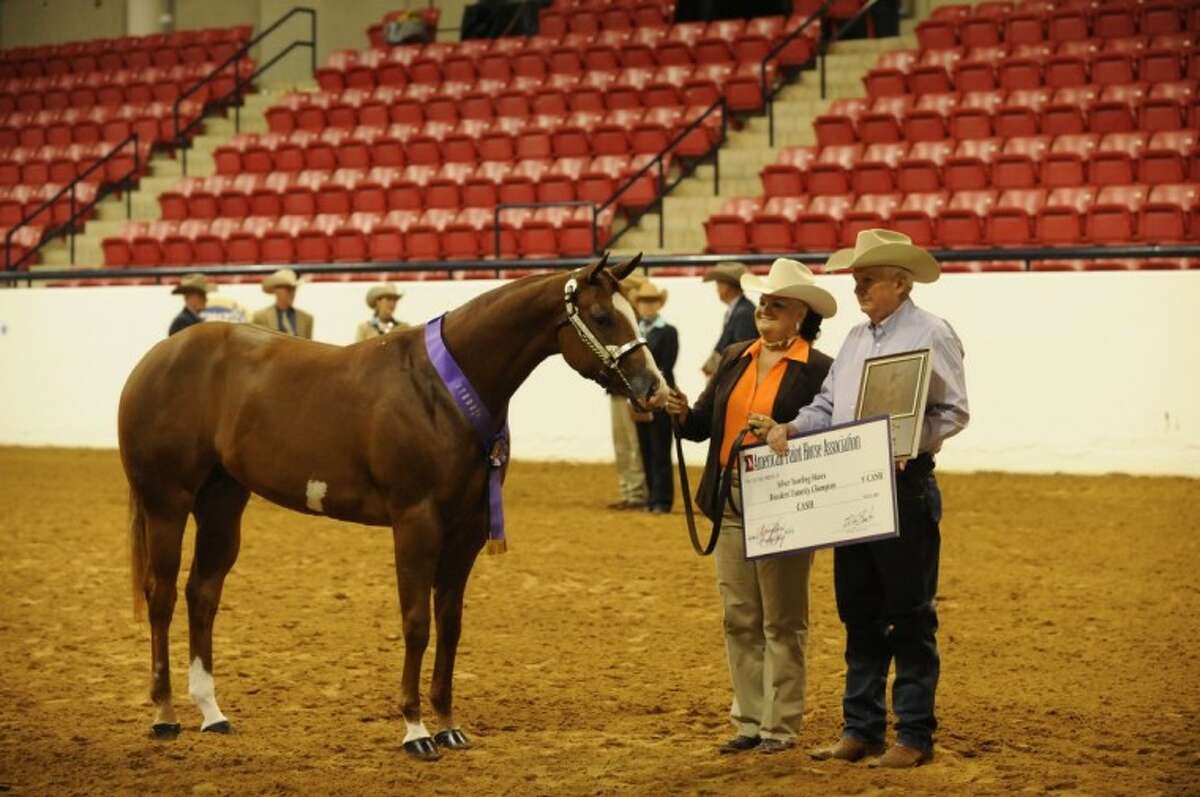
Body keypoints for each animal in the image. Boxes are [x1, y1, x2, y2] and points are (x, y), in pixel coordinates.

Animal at [118, 254, 665, 760]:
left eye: (630, 311)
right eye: (602, 316)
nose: (653, 388)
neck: (440, 392)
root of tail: (157, 357)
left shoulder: (467, 530)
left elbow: (450, 623)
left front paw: (448, 725)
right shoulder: (415, 522)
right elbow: (416, 621)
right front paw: (415, 730)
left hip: (222, 503)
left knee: (202, 593)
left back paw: (212, 713)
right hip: (167, 502)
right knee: (162, 596)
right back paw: (164, 716)